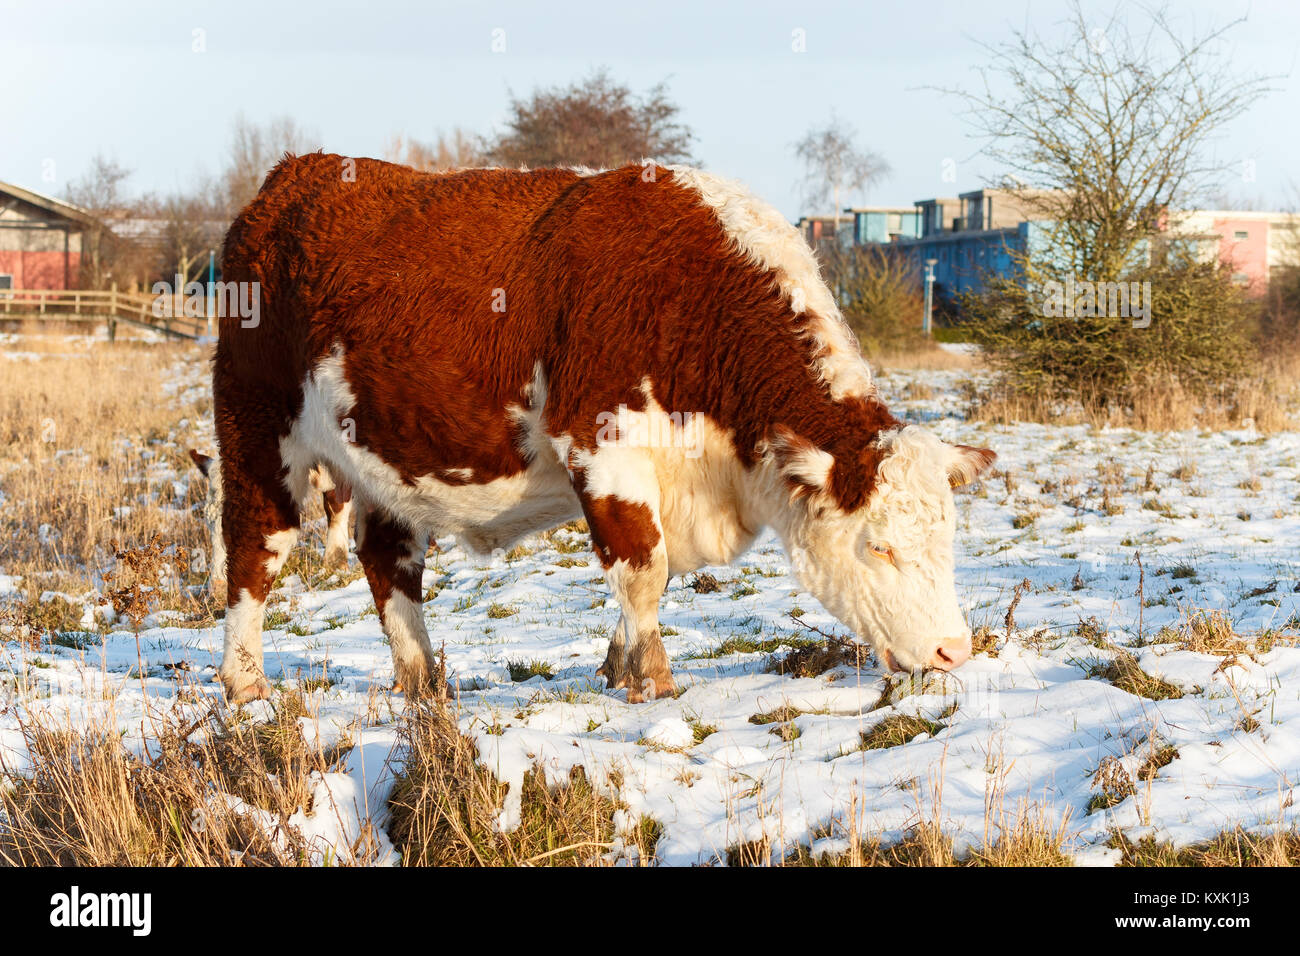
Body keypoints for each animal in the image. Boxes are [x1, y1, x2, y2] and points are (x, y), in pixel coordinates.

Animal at [212, 153, 994, 704]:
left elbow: (654, 572)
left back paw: (422, 681)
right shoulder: (605, 444)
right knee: (255, 550)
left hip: (382, 457)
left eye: (950, 539)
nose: (955, 650)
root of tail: (292, 175)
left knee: (388, 562)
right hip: (257, 431)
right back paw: (245, 682)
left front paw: (618, 667)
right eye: (879, 546)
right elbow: (643, 566)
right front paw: (653, 679)